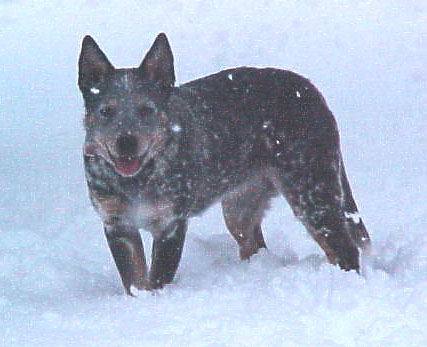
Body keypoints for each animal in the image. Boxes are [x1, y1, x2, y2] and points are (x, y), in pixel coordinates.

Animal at [77, 33, 372, 296]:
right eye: (106, 111)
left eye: (146, 109)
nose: (126, 142)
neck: (137, 180)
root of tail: (310, 88)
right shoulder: (118, 224)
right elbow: (134, 281)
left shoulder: (171, 223)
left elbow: (158, 278)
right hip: (239, 207)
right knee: (256, 244)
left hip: (311, 190)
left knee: (345, 248)